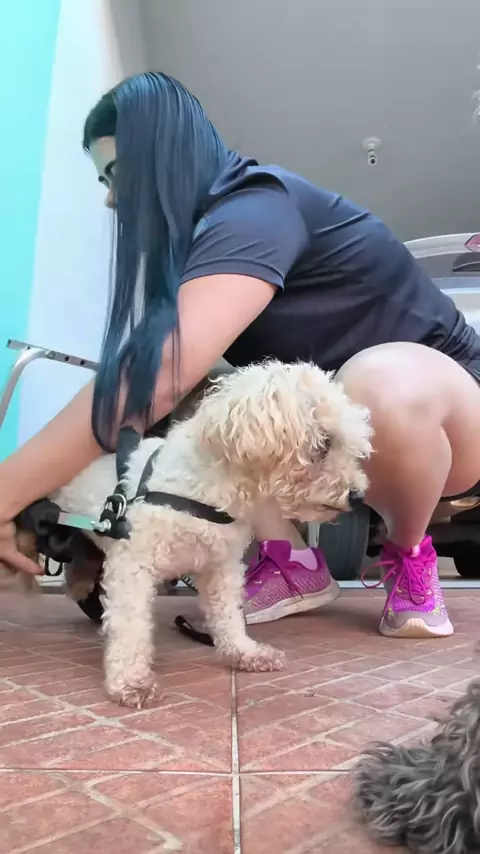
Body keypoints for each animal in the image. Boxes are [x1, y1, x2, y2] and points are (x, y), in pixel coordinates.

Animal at [6, 360, 372, 708]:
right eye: (324, 442)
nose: (357, 496)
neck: (203, 492)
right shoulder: (132, 564)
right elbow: (131, 624)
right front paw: (131, 682)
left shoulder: (221, 567)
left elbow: (229, 617)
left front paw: (245, 652)